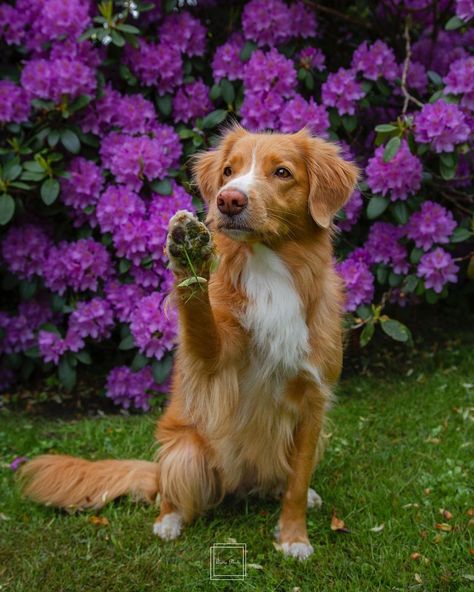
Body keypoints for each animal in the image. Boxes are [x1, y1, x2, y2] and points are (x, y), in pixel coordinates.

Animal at [18, 127, 360, 560]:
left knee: (281, 479)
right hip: (187, 452)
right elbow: (198, 318)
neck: (272, 270)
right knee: (174, 495)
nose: (228, 199)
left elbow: (296, 484)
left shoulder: (314, 400)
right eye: (229, 170)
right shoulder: (216, 361)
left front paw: (294, 538)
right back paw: (168, 520)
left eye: (282, 172)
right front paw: (186, 254)